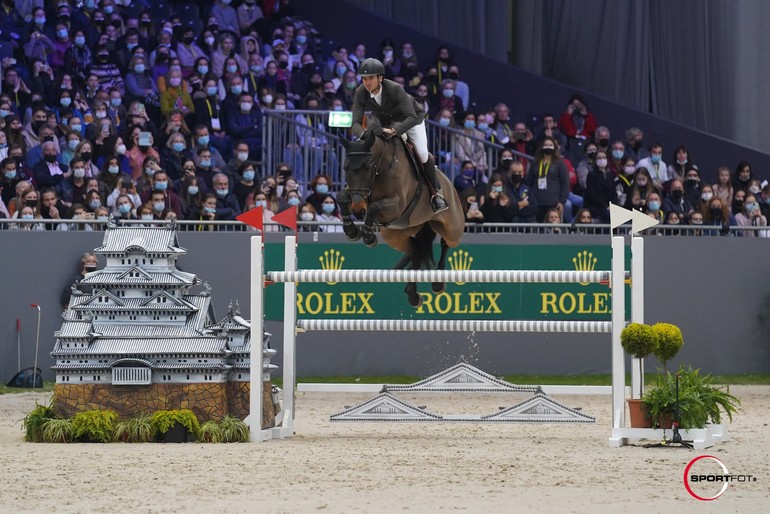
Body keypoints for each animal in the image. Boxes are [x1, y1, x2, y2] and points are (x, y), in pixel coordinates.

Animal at [336, 131, 462, 304]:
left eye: (368, 166)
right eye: (344, 167)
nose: (357, 208)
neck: (382, 166)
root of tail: (450, 184)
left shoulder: (397, 205)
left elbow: (374, 207)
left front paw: (368, 237)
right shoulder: (358, 194)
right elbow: (341, 197)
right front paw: (352, 231)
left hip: (453, 229)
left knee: (446, 243)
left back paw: (438, 283)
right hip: (396, 234)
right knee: (417, 248)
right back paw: (412, 294)